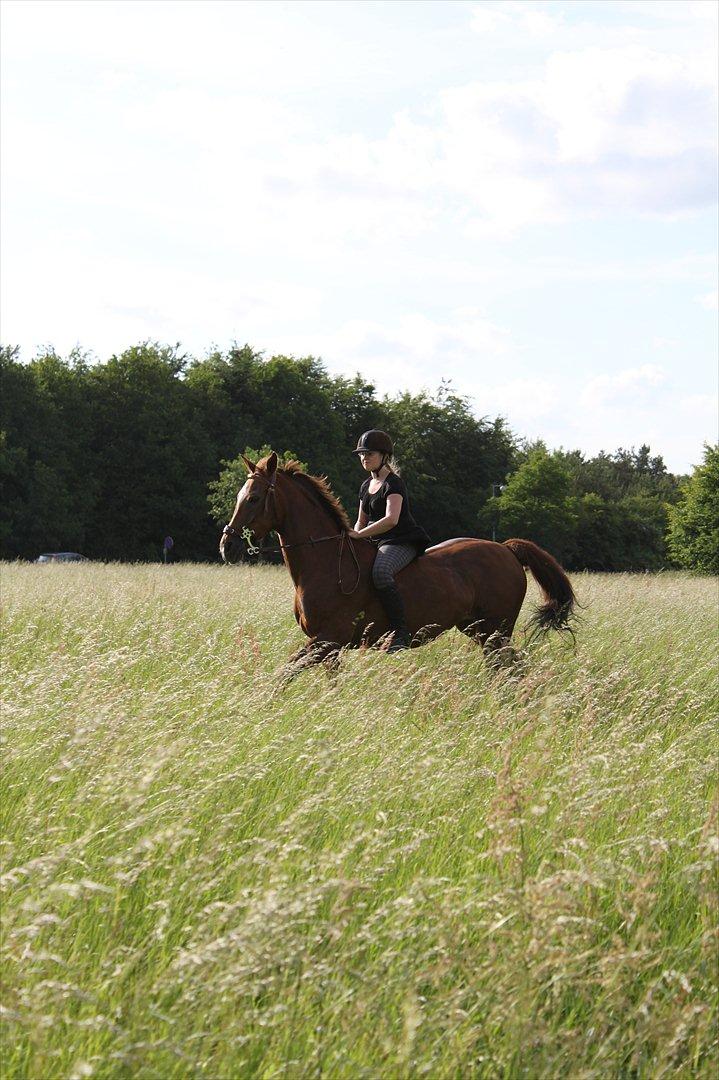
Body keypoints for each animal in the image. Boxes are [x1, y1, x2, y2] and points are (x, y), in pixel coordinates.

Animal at [218, 449, 578, 669]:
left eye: (253, 498)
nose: (227, 546)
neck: (324, 562)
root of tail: (506, 549)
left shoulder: (328, 639)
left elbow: (285, 672)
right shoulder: (328, 646)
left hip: (496, 631)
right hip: (477, 629)